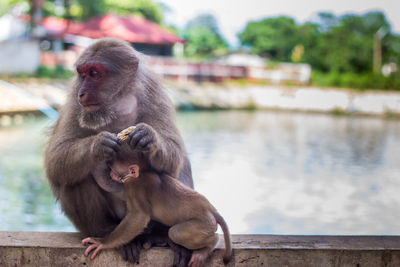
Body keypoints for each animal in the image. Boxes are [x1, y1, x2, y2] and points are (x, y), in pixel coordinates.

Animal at [44, 37, 193, 266]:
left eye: (94, 73)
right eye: (82, 74)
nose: (82, 93)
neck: (116, 104)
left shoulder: (153, 94)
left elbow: (175, 156)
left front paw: (149, 138)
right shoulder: (75, 103)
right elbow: (55, 159)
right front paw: (98, 145)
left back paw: (162, 236)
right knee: (73, 178)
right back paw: (109, 235)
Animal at [81, 154, 231, 266]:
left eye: (112, 167)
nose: (110, 172)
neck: (141, 174)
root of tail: (211, 208)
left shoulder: (134, 187)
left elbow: (139, 217)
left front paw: (102, 242)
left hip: (203, 224)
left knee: (176, 233)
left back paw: (209, 245)